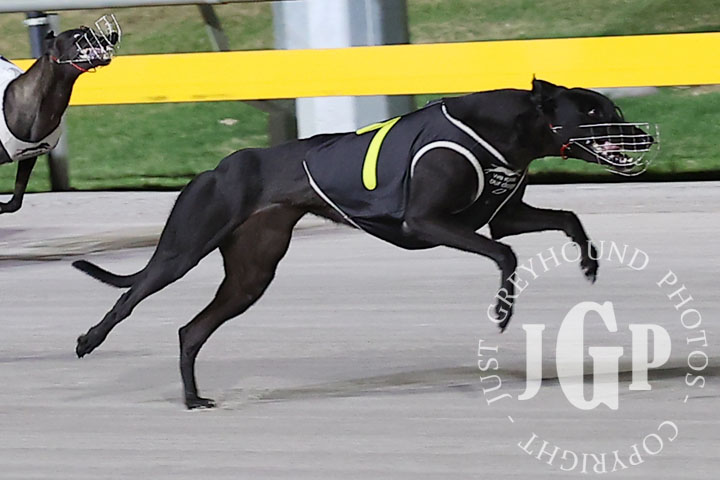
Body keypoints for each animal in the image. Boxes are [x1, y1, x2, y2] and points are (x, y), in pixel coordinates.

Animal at [73, 79, 657, 409]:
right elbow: (505, 255)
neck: (505, 130)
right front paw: (502, 312)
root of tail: (216, 167)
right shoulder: (428, 222)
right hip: (184, 247)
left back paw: (194, 399)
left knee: (190, 330)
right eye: (597, 112)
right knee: (131, 294)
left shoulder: (504, 215)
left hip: (251, 275)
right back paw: (88, 341)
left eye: (613, 109)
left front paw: (589, 264)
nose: (646, 135)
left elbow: (568, 219)